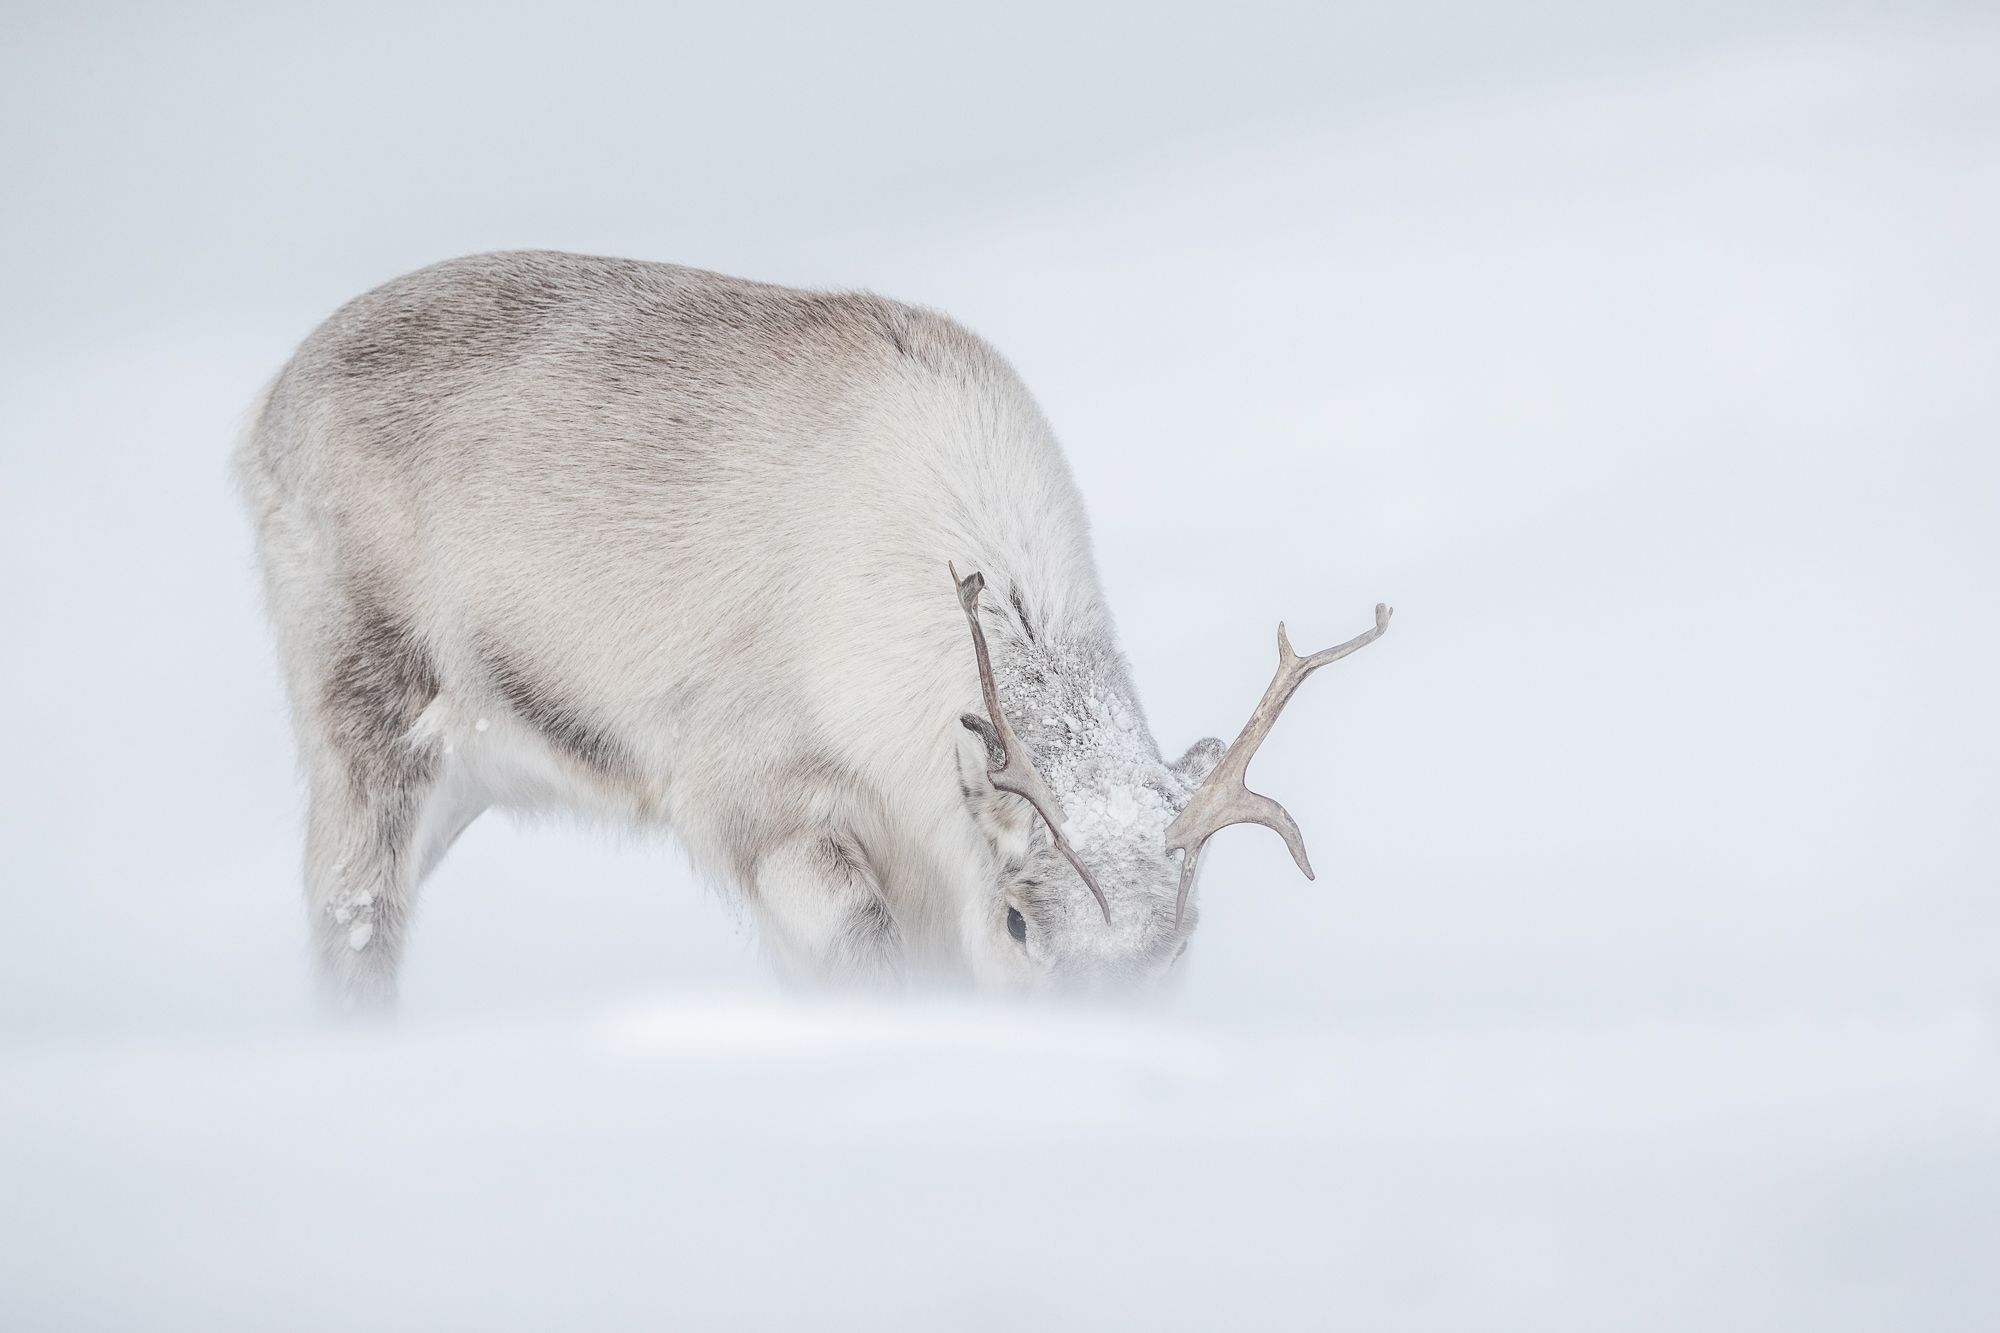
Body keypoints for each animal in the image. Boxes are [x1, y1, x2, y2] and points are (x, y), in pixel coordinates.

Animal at [235, 250, 1391, 1009]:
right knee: (351, 915)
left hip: (471, 772)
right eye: (1020, 919)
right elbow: (861, 956)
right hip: (366, 714)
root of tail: (266, 409)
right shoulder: (759, 801)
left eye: (1179, 940)